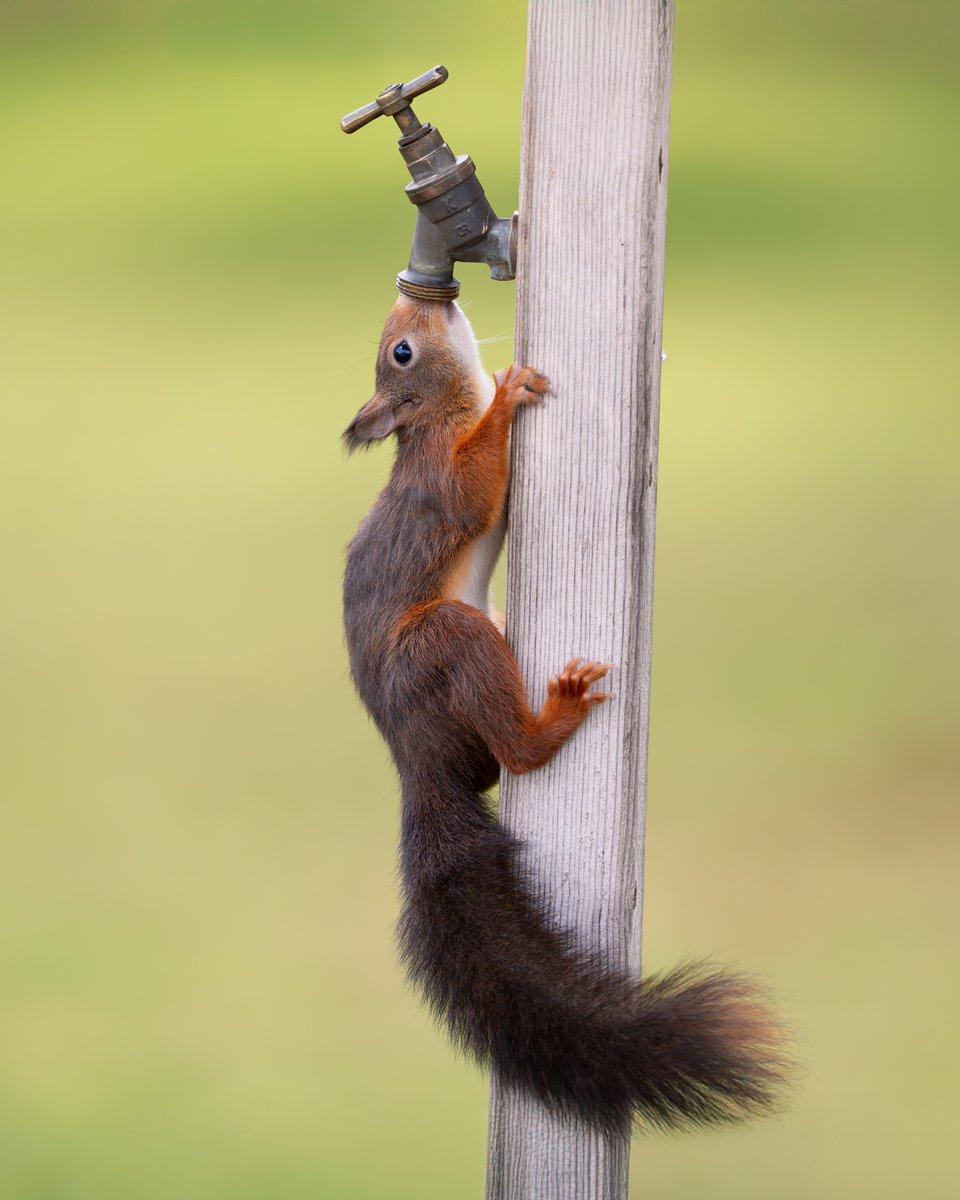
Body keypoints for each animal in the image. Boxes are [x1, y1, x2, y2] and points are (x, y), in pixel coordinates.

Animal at [342, 294, 791, 1136]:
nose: (425, 296)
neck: (440, 415)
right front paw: (509, 394)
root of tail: (415, 760)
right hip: (447, 641)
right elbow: (474, 486)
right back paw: (557, 712)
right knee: (516, 754)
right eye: (402, 353)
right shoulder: (441, 479)